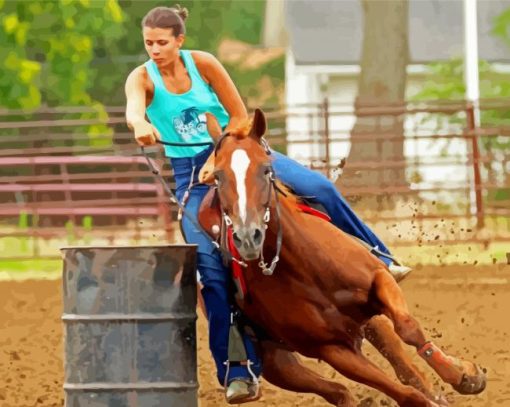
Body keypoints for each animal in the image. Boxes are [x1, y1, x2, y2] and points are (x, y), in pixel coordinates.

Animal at [197, 110, 484, 406]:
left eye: (266, 169)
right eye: (218, 177)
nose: (247, 236)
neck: (307, 268)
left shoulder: (378, 280)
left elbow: (408, 328)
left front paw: (464, 375)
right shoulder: (332, 349)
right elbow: (404, 394)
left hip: (369, 321)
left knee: (403, 365)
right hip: (279, 364)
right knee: (338, 390)